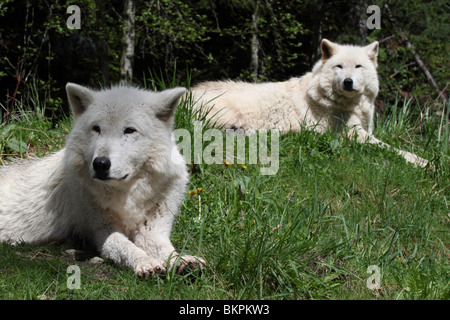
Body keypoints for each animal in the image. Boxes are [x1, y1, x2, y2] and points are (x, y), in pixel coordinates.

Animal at [0, 84, 204, 276]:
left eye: (129, 130)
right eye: (96, 128)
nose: (100, 163)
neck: (127, 195)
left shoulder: (152, 231)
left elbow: (166, 250)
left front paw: (183, 260)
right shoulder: (102, 231)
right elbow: (127, 246)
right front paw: (146, 263)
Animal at [191, 38, 428, 168]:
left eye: (358, 66)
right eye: (339, 66)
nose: (348, 81)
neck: (347, 104)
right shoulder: (354, 135)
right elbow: (393, 149)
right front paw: (425, 163)